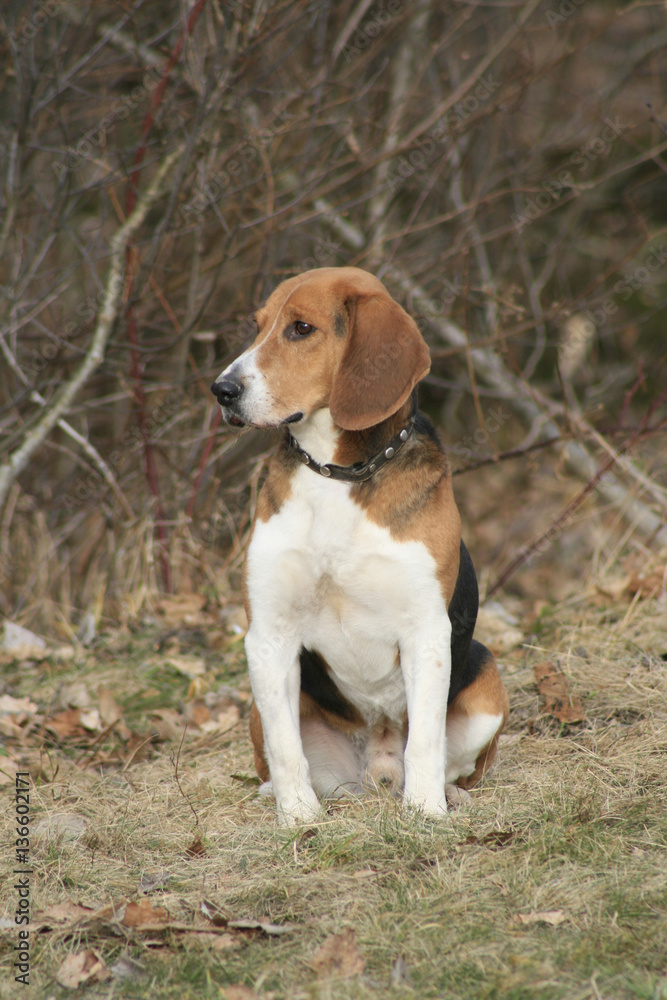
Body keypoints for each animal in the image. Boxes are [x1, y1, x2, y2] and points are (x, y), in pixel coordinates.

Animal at [211, 268, 508, 828]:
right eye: (258, 326)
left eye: (301, 328)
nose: (221, 390)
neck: (336, 473)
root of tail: (377, 768)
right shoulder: (268, 634)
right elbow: (286, 748)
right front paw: (298, 818)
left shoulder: (427, 631)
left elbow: (427, 740)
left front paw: (426, 811)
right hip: (260, 711)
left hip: (488, 685)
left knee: (447, 758)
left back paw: (446, 794)